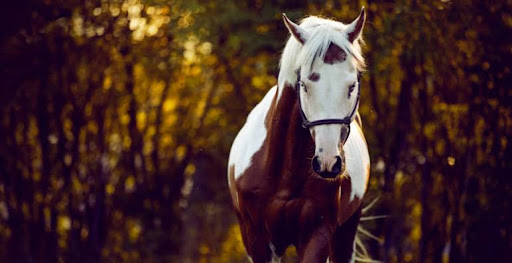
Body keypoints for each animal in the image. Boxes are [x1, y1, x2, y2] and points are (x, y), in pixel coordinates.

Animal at [228, 7, 368, 262]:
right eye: (304, 85)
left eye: (352, 86)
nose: (327, 162)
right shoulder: (257, 240)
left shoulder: (318, 234)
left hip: (346, 232)